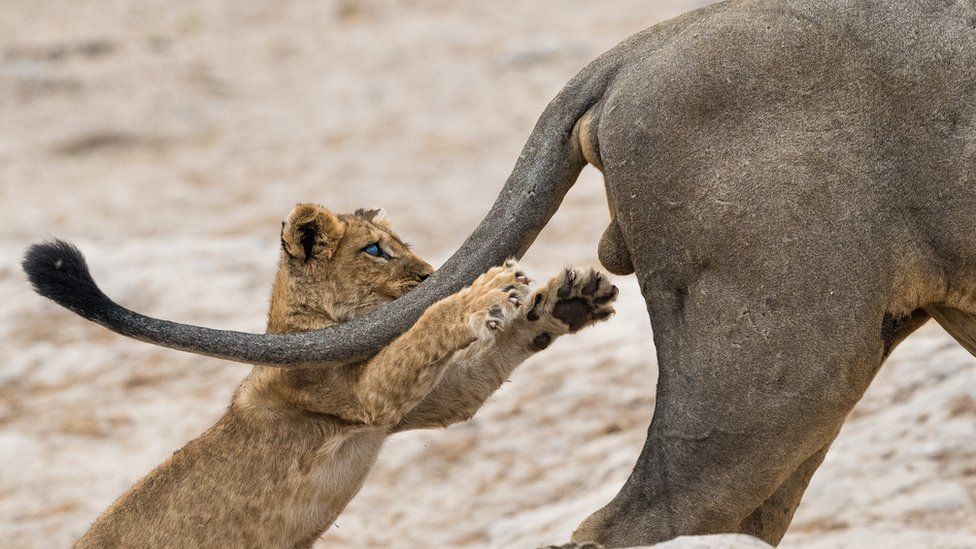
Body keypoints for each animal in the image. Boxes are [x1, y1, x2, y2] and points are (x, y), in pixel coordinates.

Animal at [22, 0, 976, 544]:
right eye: (376, 249)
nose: (422, 271)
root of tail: (641, 46)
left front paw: (554, 301)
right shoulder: (356, 393)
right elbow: (416, 349)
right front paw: (489, 293)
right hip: (782, 357)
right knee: (646, 518)